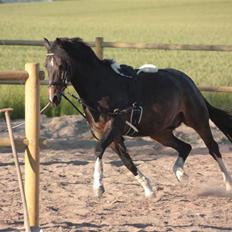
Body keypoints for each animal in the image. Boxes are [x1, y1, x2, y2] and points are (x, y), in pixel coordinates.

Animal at [44, 37, 232, 198]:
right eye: (46, 65)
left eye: (61, 65)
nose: (53, 98)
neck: (101, 87)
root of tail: (188, 81)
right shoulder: (111, 136)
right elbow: (126, 161)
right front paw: (149, 190)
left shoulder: (115, 126)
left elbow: (98, 150)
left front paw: (98, 187)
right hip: (159, 132)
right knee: (185, 147)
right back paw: (180, 174)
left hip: (198, 121)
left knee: (213, 148)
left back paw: (228, 184)